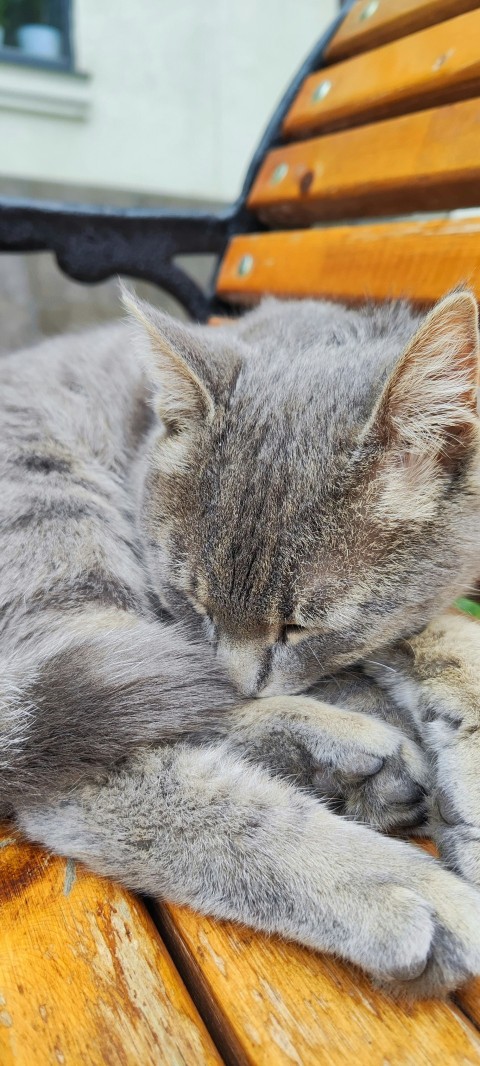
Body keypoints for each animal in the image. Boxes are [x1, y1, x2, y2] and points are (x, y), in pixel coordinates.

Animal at [2, 285, 480, 997]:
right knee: (98, 770)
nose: (237, 677)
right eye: (192, 598)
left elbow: (449, 637)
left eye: (299, 626)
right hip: (56, 521)